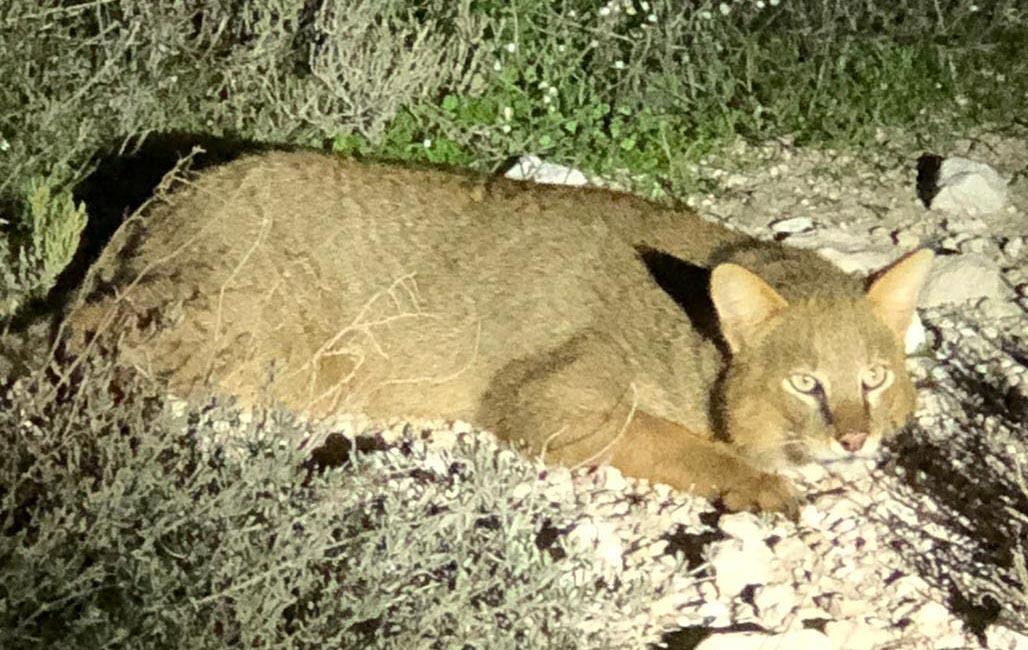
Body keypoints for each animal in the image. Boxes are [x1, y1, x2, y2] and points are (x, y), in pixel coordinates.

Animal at [62, 152, 933, 512]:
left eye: (876, 377)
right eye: (804, 381)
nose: (854, 438)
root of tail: (167, 198)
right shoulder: (546, 401)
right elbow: (672, 440)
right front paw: (755, 481)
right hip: (220, 331)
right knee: (75, 332)